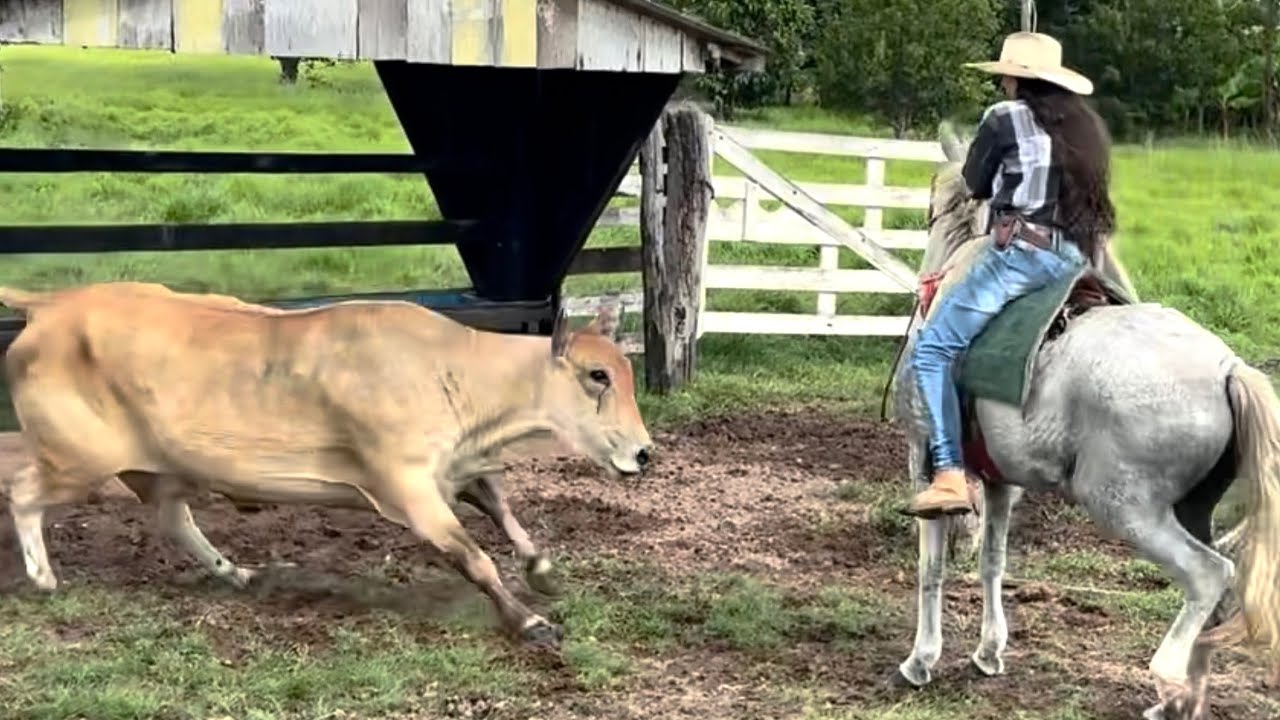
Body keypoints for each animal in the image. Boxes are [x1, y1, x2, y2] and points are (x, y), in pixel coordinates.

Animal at [0, 281, 653, 648]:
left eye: (624, 370)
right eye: (598, 375)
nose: (644, 452)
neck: (455, 371)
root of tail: (51, 304)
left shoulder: (455, 469)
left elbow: (502, 507)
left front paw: (542, 569)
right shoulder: (407, 488)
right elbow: (474, 557)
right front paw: (530, 623)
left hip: (158, 470)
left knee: (173, 520)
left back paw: (238, 574)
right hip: (76, 459)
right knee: (24, 492)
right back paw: (43, 577)